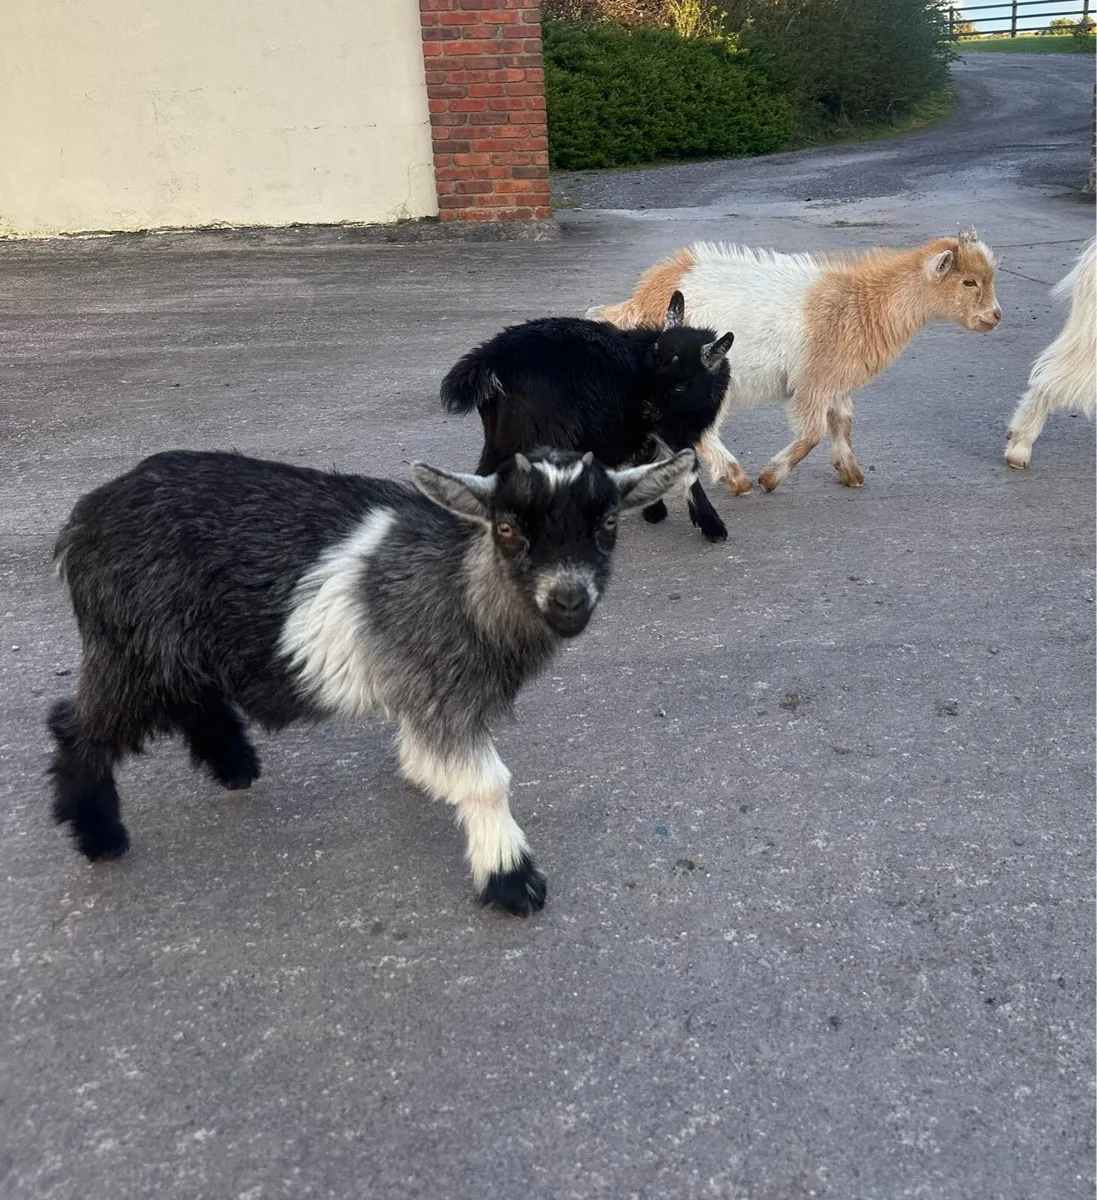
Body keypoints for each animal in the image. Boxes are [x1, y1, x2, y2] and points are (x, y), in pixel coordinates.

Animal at [47, 447, 694, 916]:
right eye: (507, 527)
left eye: (607, 521)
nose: (568, 599)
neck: (460, 585)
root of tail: (82, 519)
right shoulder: (445, 693)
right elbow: (489, 784)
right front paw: (511, 879)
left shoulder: (425, 688)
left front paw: (427, 776)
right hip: (131, 647)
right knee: (79, 725)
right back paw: (100, 833)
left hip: (168, 647)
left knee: (191, 698)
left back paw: (234, 765)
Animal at [441, 292, 735, 542]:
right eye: (651, 364)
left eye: (680, 385)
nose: (642, 409)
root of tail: (492, 358)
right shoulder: (666, 430)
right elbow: (688, 473)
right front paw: (712, 525)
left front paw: (654, 510)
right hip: (532, 433)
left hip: (500, 435)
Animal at [589, 231, 1001, 494]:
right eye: (968, 282)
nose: (995, 316)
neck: (863, 305)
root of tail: (645, 295)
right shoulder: (813, 379)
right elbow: (812, 432)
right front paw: (770, 478)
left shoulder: (836, 379)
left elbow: (843, 421)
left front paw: (851, 473)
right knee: (701, 429)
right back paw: (737, 480)